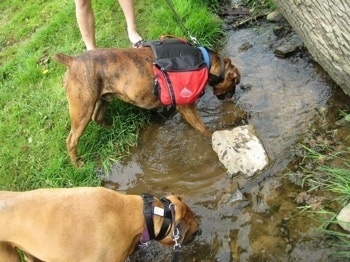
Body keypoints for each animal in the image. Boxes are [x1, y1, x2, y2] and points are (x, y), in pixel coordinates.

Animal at [54, 47, 241, 167]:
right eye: (234, 82)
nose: (232, 95)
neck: (205, 62)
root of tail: (72, 61)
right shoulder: (187, 107)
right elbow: (203, 128)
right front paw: (214, 136)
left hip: (102, 99)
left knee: (98, 117)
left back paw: (116, 131)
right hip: (82, 109)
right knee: (71, 140)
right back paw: (77, 164)